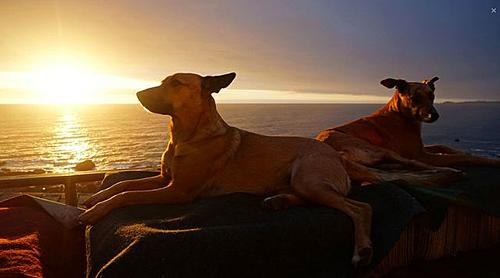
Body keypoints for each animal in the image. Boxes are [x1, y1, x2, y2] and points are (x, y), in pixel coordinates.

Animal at [79, 73, 376, 266]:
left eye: (175, 83)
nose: (137, 94)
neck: (186, 136)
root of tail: (338, 156)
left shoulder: (178, 190)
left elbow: (126, 195)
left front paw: (96, 211)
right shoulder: (165, 179)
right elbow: (123, 185)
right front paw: (96, 197)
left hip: (308, 177)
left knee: (361, 207)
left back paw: (362, 249)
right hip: (303, 183)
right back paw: (278, 201)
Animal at [316, 76, 500, 172]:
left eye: (432, 96)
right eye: (414, 98)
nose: (434, 115)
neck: (400, 115)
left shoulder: (420, 148)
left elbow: (443, 146)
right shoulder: (420, 154)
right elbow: (460, 157)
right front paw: (487, 160)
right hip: (374, 147)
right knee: (418, 164)